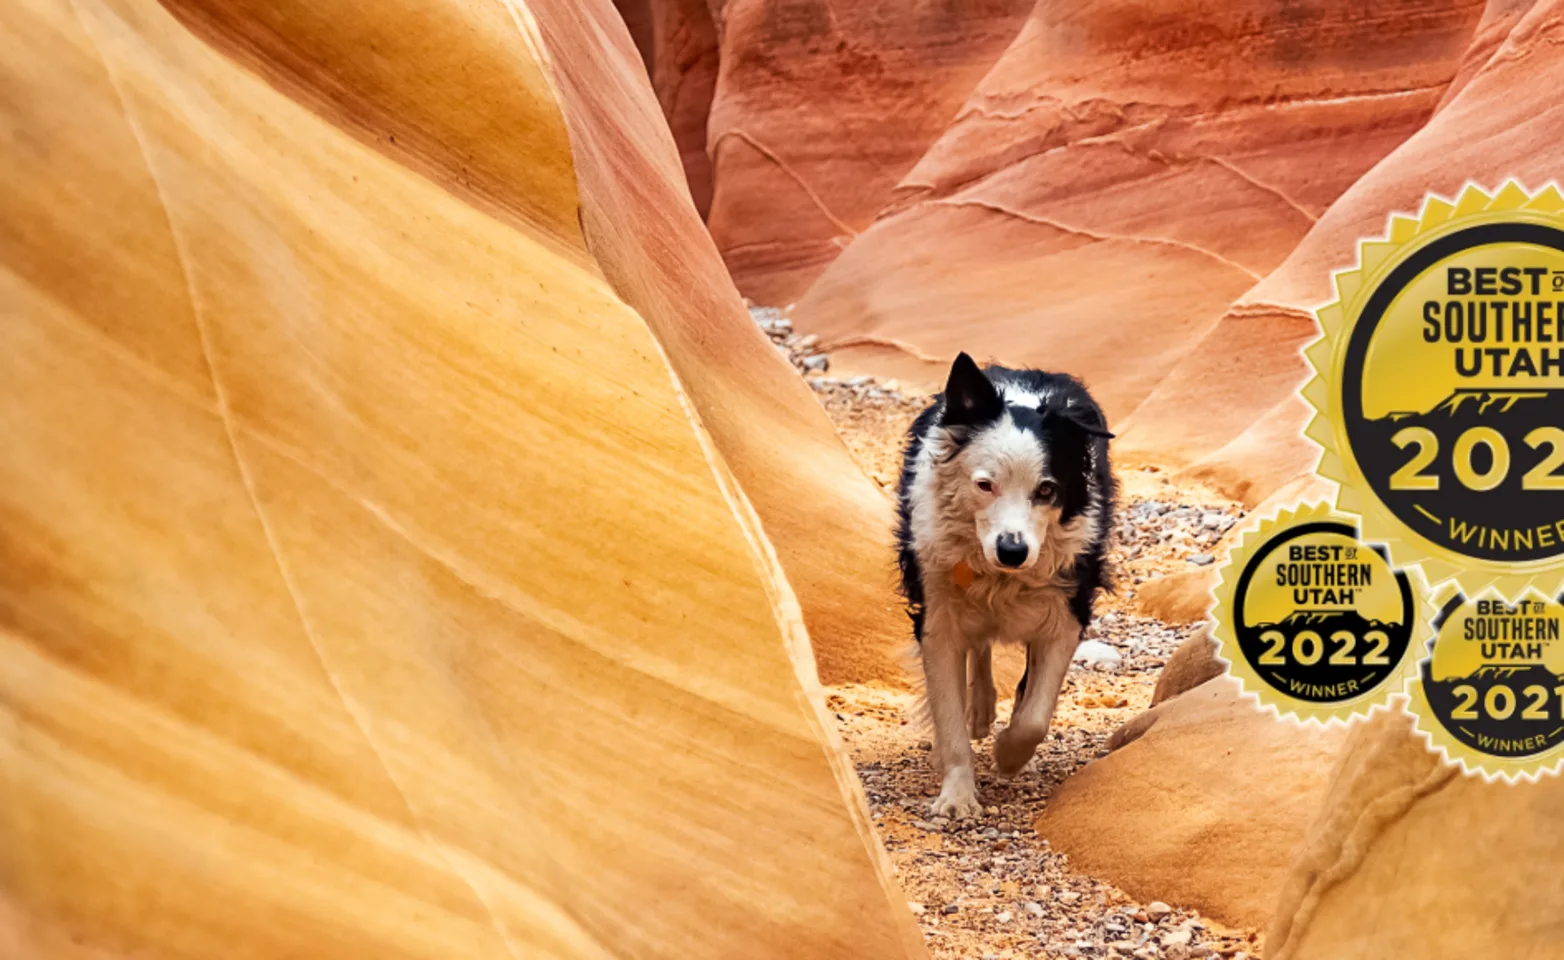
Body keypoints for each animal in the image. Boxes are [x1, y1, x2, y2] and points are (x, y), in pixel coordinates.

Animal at [894, 353, 1113, 819]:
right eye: (984, 484)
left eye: (1046, 490)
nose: (1013, 551)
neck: (1000, 576)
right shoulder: (936, 612)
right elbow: (949, 715)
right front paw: (957, 796)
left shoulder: (1067, 609)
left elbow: (1033, 717)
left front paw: (1009, 754)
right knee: (978, 648)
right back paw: (979, 712)